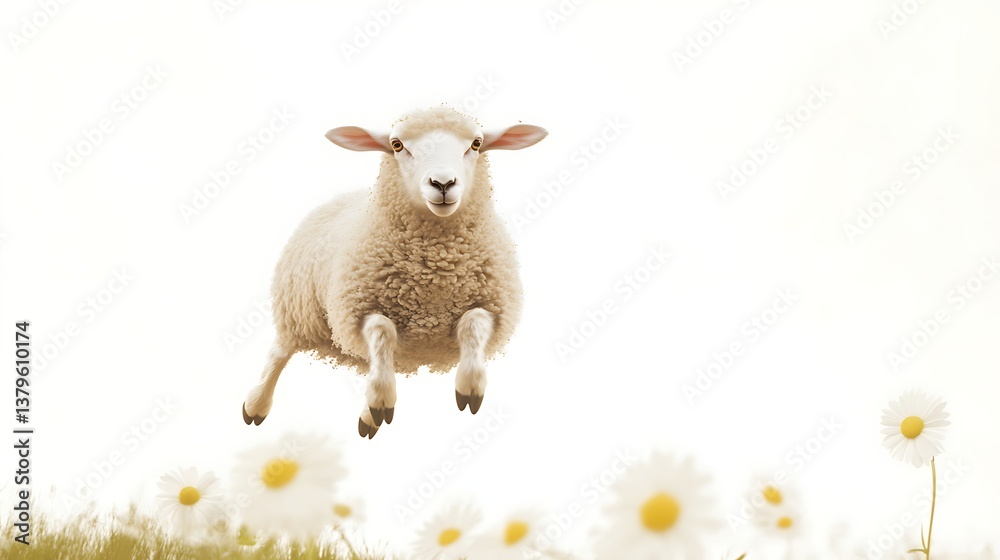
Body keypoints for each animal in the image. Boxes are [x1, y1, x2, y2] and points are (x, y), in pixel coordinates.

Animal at [241, 107, 547, 438]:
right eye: (397, 145)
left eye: (476, 144)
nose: (442, 183)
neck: (435, 271)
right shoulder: (356, 309)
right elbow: (382, 329)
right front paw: (382, 400)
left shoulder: (494, 304)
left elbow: (473, 322)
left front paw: (469, 386)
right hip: (298, 312)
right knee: (278, 355)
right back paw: (256, 405)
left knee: (372, 363)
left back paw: (368, 416)